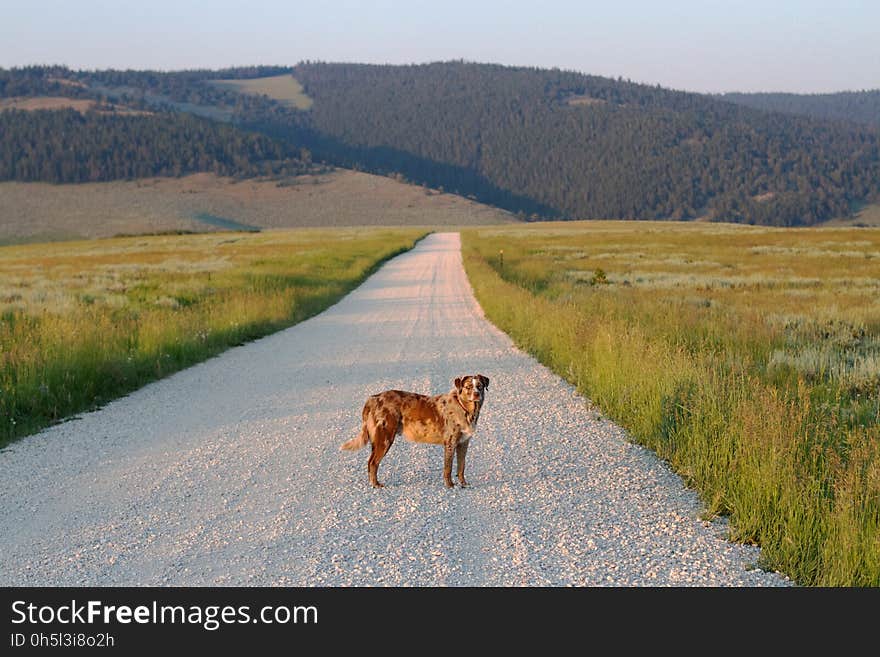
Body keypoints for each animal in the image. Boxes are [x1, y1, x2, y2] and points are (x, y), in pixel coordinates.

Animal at [340, 374, 488, 486]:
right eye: (468, 387)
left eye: (480, 386)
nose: (476, 394)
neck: (465, 408)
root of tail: (373, 398)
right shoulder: (450, 443)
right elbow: (448, 468)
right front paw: (450, 486)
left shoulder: (463, 443)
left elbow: (461, 466)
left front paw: (464, 484)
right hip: (385, 438)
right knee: (373, 462)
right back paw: (376, 485)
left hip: (378, 440)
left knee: (371, 462)